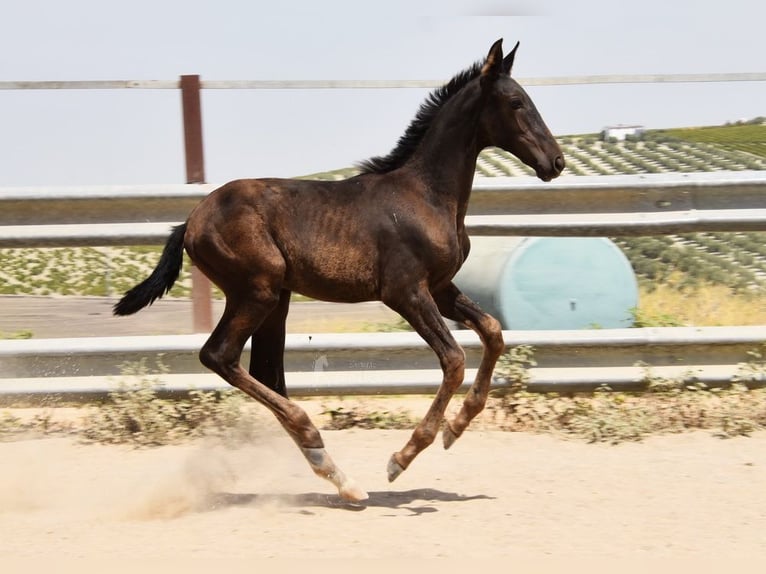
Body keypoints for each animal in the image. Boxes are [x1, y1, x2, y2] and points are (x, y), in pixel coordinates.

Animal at [114, 38, 564, 502]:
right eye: (516, 102)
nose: (556, 161)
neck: (425, 195)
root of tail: (190, 221)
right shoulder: (406, 292)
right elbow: (454, 358)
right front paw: (402, 457)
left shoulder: (440, 288)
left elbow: (492, 330)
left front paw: (455, 428)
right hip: (257, 290)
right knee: (219, 355)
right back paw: (322, 450)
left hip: (277, 297)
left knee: (264, 370)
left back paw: (335, 473)